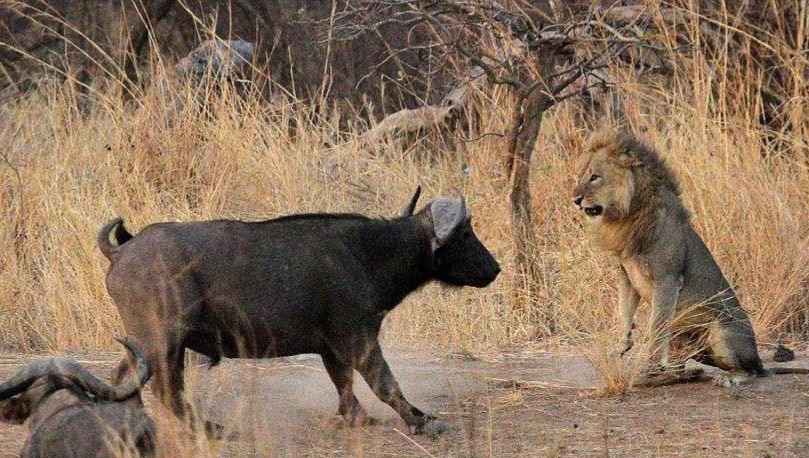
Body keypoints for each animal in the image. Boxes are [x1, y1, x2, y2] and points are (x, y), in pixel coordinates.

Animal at [572, 130, 804, 386]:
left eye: (594, 177)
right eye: (580, 176)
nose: (575, 200)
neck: (627, 214)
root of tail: (761, 360)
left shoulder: (667, 279)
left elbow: (656, 327)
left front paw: (647, 365)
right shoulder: (627, 274)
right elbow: (624, 311)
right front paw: (621, 346)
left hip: (723, 330)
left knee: (750, 370)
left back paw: (729, 377)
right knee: (684, 365)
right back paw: (674, 375)